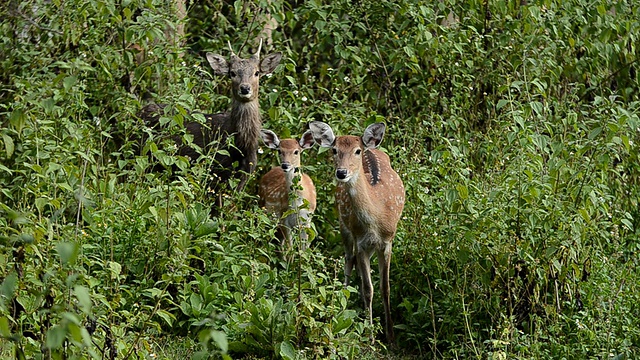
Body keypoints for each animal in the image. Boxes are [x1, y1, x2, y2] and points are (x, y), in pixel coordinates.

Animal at [139, 40, 282, 198]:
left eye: (257, 72)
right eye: (232, 73)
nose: (245, 88)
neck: (241, 147)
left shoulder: (243, 177)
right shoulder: (214, 174)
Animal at [308, 120, 404, 344]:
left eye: (357, 151)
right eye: (334, 150)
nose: (341, 173)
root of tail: (373, 148)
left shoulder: (387, 241)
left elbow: (385, 287)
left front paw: (391, 336)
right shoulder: (361, 242)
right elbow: (369, 288)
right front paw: (370, 337)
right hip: (343, 224)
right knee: (348, 259)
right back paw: (343, 298)